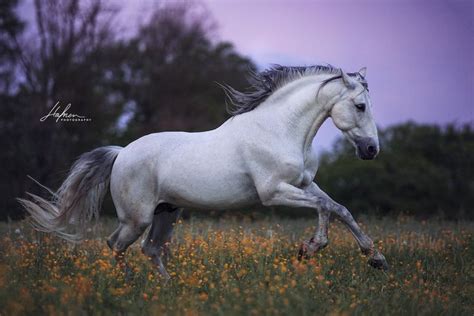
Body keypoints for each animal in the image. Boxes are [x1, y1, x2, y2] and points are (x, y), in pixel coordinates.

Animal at [18, 65, 388, 278]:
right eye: (360, 106)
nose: (372, 150)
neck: (280, 130)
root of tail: (121, 153)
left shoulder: (305, 183)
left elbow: (340, 209)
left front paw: (376, 258)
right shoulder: (273, 191)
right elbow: (326, 209)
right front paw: (310, 249)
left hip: (167, 212)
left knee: (150, 249)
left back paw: (165, 289)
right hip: (137, 218)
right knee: (115, 244)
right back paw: (125, 288)